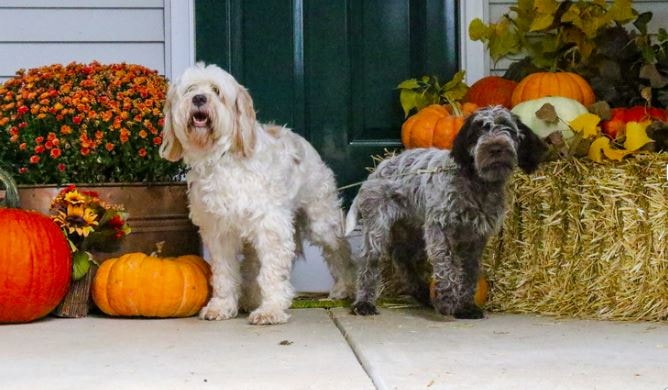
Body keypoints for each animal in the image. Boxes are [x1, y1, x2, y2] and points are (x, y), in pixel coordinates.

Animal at [159, 64, 354, 324]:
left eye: (216, 91)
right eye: (190, 89)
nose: (199, 98)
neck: (222, 160)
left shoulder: (271, 227)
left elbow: (271, 273)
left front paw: (271, 309)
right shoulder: (220, 231)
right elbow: (224, 273)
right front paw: (222, 306)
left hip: (321, 222)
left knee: (340, 250)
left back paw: (345, 286)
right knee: (251, 265)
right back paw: (250, 298)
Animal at [348, 105, 544, 318]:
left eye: (507, 127)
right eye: (479, 130)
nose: (495, 148)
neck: (477, 184)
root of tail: (378, 169)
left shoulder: (475, 238)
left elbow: (469, 273)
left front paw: (466, 306)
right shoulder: (440, 230)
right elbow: (446, 264)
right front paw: (447, 299)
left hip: (414, 231)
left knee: (402, 259)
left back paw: (421, 293)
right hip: (378, 227)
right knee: (370, 263)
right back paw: (364, 303)